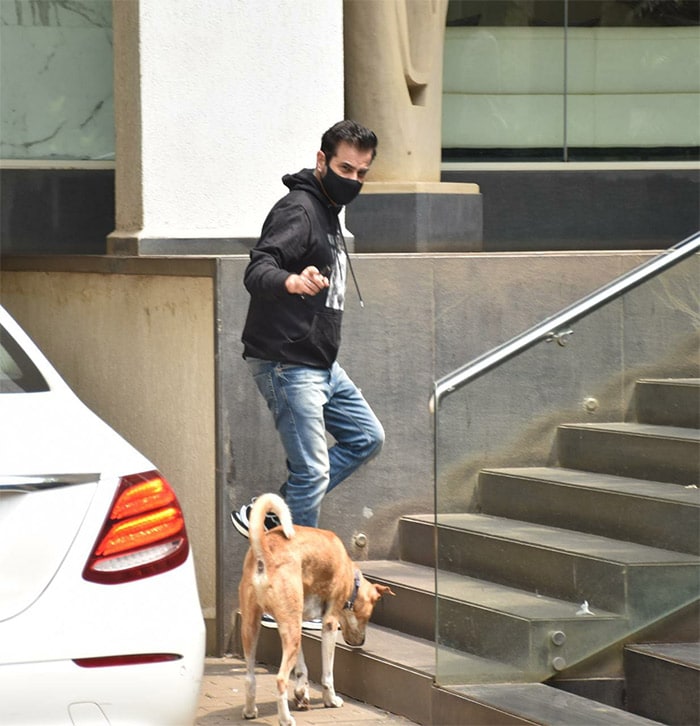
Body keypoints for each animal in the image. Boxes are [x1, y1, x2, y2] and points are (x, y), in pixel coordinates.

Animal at [239, 492, 394, 724]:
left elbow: (302, 668)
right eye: (367, 616)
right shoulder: (329, 622)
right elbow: (328, 673)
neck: (350, 575)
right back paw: (285, 719)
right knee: (280, 679)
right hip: (288, 629)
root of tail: (263, 553)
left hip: (255, 627)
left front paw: (302, 694)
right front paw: (331, 700)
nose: (361, 643)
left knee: (249, 678)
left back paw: (250, 711)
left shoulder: (297, 623)